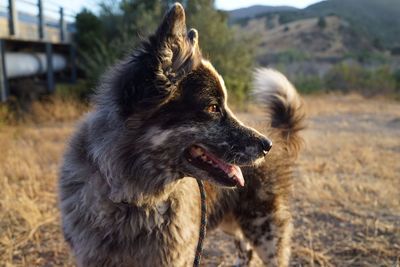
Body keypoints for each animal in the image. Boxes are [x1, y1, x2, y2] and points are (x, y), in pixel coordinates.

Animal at [58, 2, 304, 267]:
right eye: (213, 107)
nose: (267, 146)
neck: (134, 200)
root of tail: (274, 131)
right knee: (245, 250)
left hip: (265, 230)